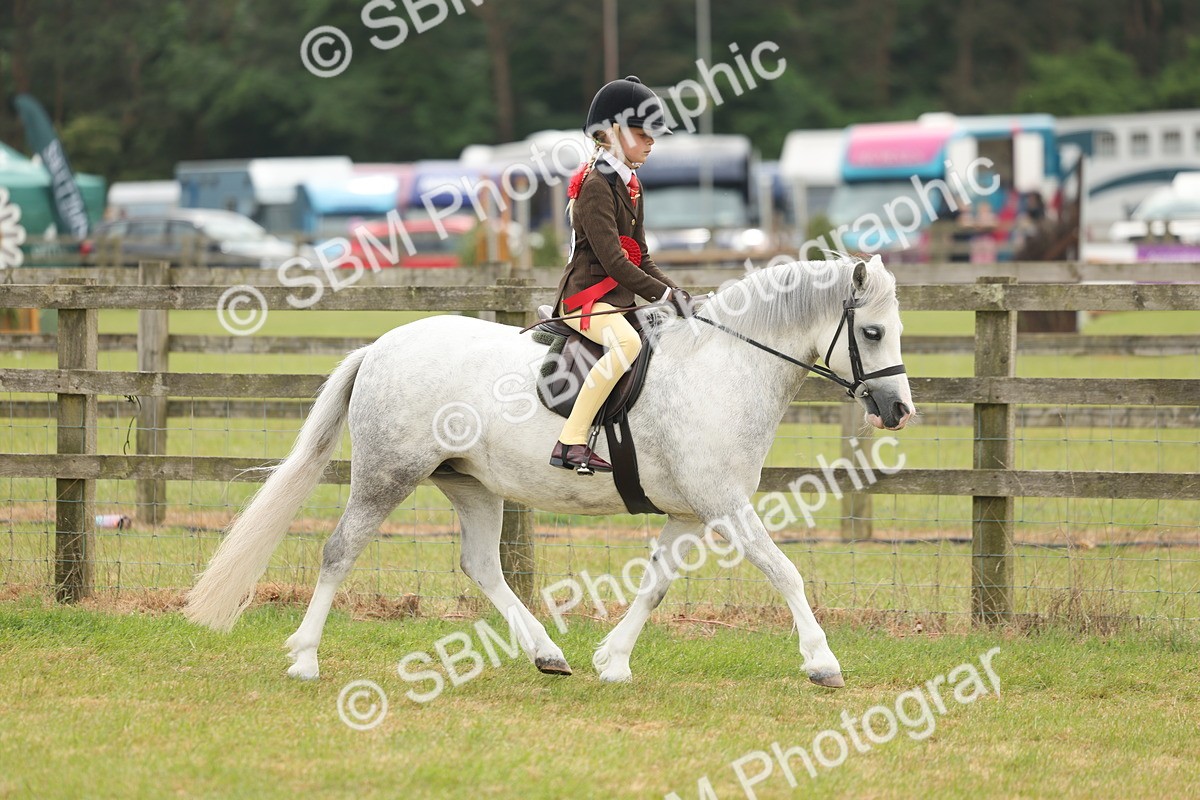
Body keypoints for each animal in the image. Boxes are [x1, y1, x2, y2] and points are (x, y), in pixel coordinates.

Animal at [183, 254, 914, 689]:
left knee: (482, 566)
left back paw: (547, 653)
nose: (899, 410)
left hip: (471, 485)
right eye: (873, 333)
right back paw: (305, 657)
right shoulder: (722, 502)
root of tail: (382, 345)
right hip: (388, 475)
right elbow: (784, 570)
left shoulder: (688, 511)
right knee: (339, 551)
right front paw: (823, 661)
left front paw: (612, 662)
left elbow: (655, 587)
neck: (723, 365)